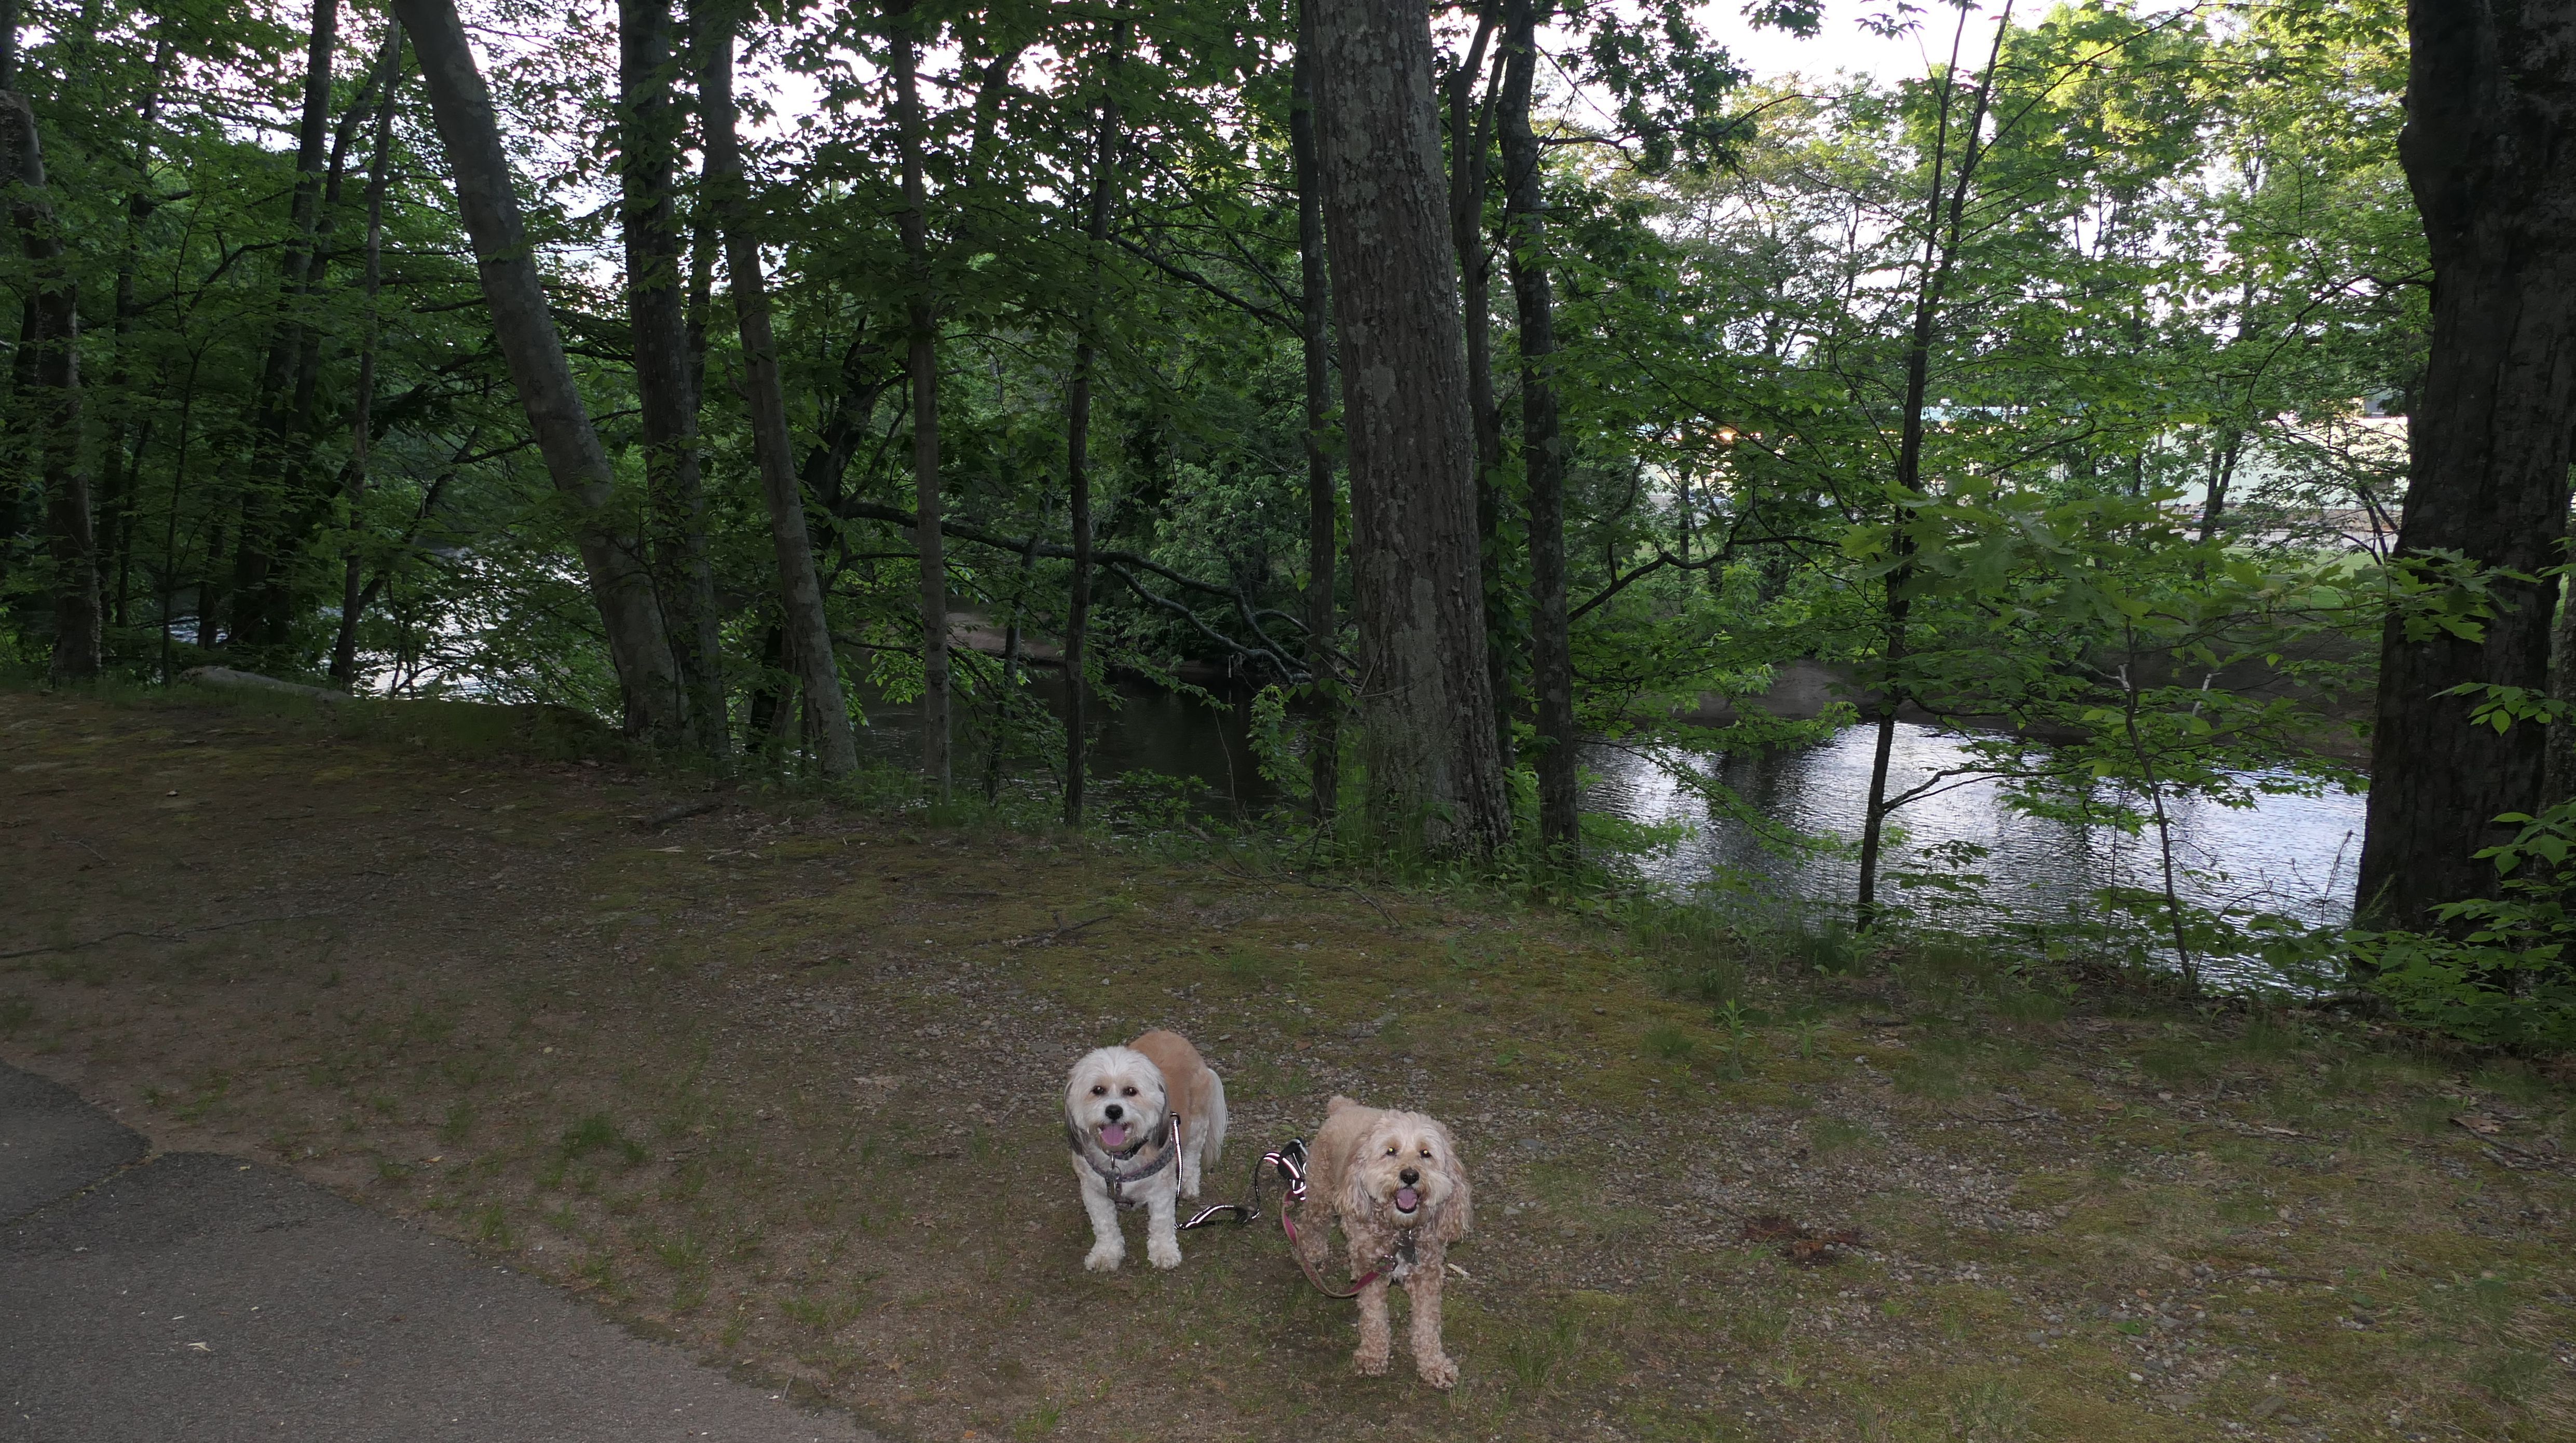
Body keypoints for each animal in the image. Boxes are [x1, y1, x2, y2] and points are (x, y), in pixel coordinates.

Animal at [1062, 1028, 1226, 1272]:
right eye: (1097, 1090)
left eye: (1131, 1091)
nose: (1114, 1111)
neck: (1121, 1156)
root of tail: (1173, 1036)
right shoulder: (1093, 1192)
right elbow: (1105, 1225)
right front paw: (1106, 1253)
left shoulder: (1163, 1190)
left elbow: (1161, 1223)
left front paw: (1164, 1252)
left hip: (1197, 1125)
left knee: (1191, 1157)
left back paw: (1189, 1185)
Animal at [1291, 1095, 1472, 1388]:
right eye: (1390, 1151)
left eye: (1426, 1154)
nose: (1410, 1176)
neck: (1401, 1232)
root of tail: (1345, 1106)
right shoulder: (1370, 1270)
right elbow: (1374, 1317)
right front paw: (1372, 1355)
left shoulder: (1428, 1277)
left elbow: (1427, 1324)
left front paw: (1434, 1364)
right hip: (1320, 1192)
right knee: (1310, 1224)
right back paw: (1310, 1252)